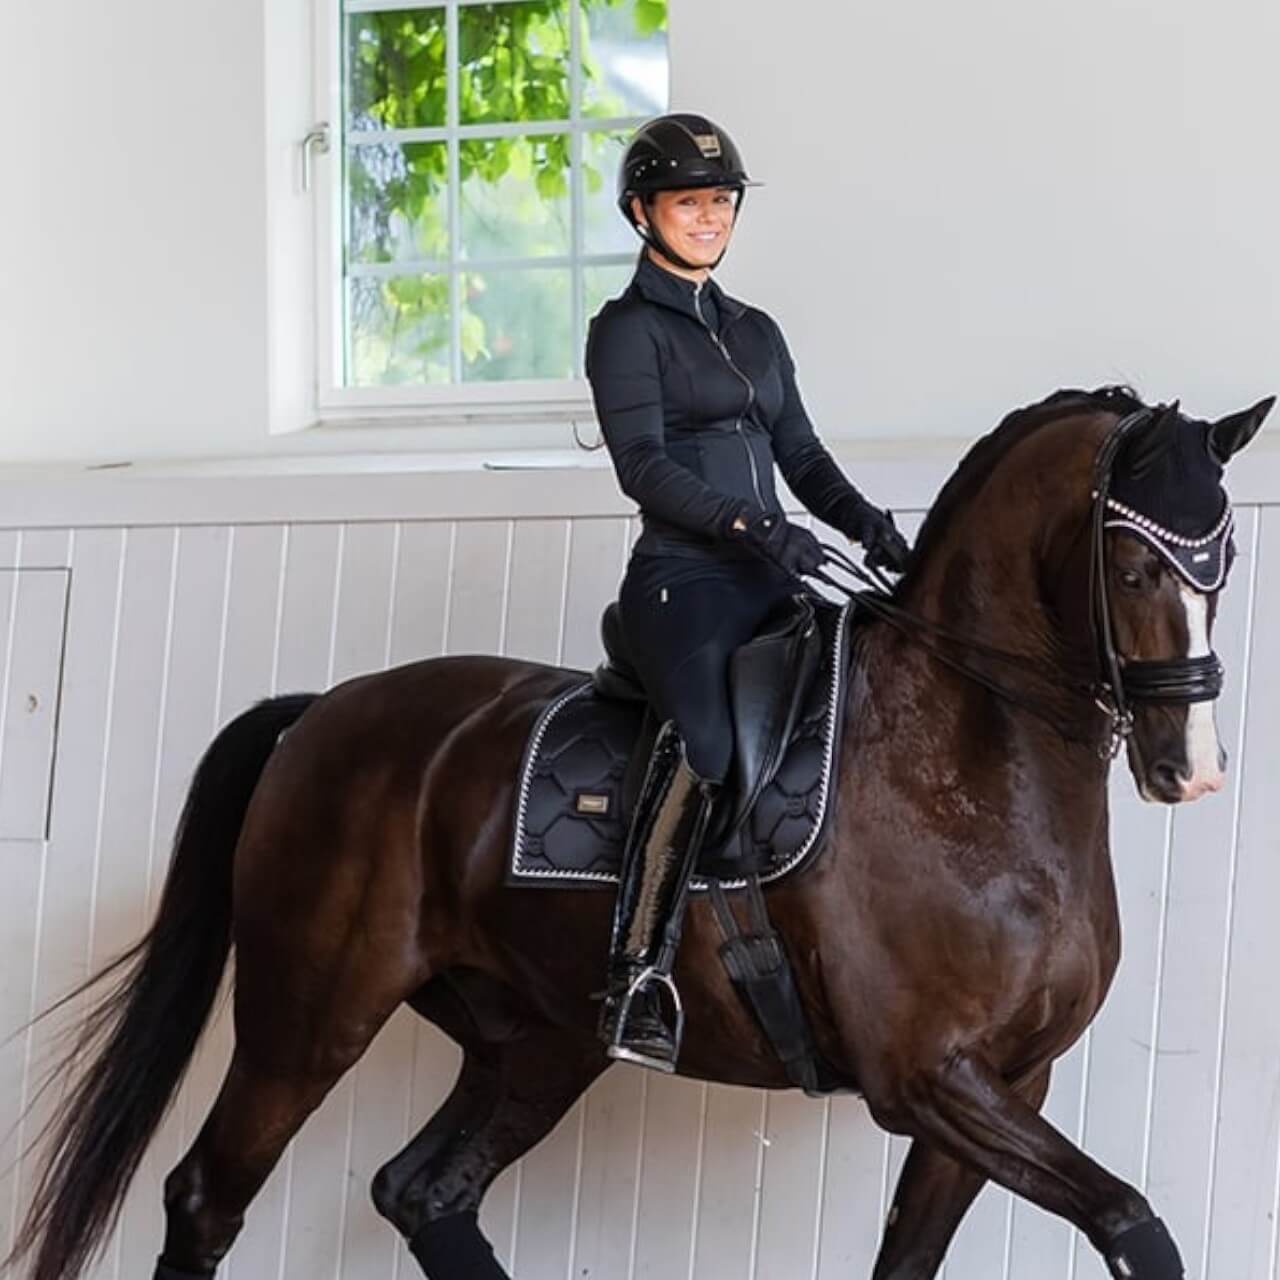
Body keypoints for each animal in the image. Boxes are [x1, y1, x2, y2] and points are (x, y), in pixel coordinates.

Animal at [5, 386, 1272, 1280]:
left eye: (1221, 558)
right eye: (1131, 562)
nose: (1191, 765)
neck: (964, 763)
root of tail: (323, 710)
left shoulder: (1011, 1079)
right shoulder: (925, 1076)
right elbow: (1132, 1223)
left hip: (536, 1037)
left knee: (424, 1191)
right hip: (307, 1016)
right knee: (208, 1196)